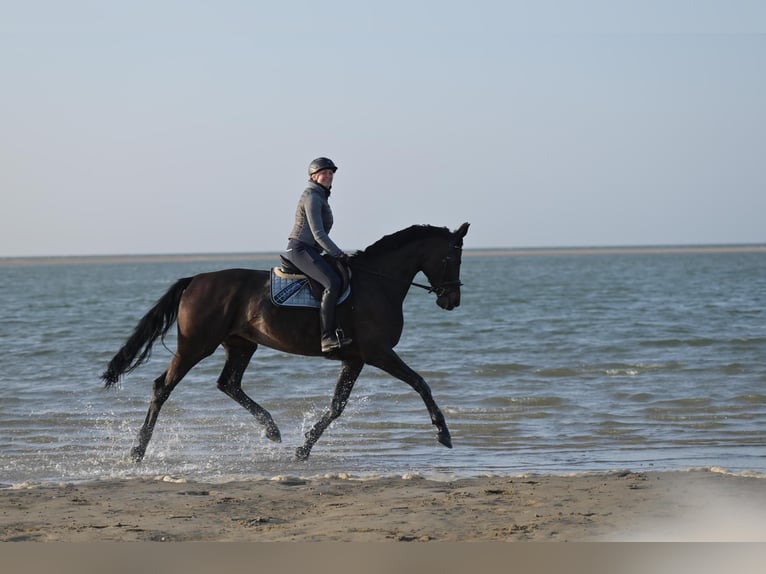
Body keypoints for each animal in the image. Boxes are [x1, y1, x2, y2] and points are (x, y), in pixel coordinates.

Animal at [102, 224, 472, 464]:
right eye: (452, 259)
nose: (452, 300)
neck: (378, 283)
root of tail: (195, 280)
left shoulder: (355, 359)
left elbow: (337, 406)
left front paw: (303, 448)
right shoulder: (378, 353)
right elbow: (420, 383)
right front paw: (443, 433)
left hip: (241, 344)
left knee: (228, 383)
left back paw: (272, 429)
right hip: (196, 345)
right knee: (162, 387)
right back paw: (137, 451)